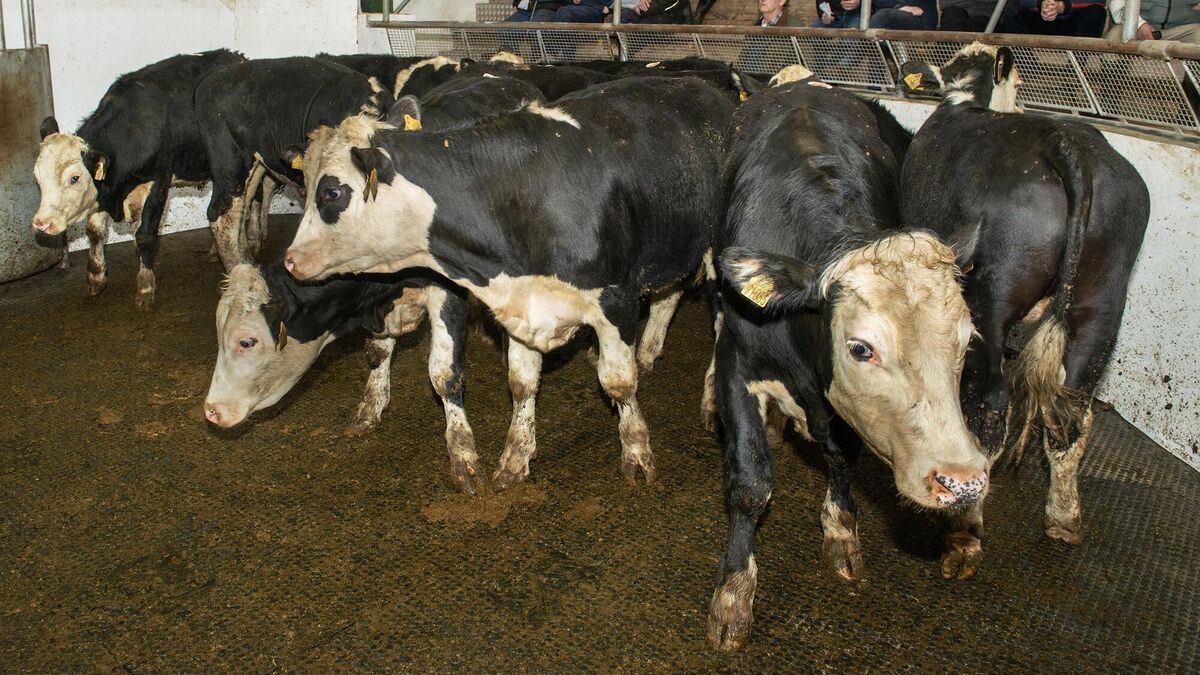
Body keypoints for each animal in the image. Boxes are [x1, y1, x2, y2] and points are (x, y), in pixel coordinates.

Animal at [31, 49, 246, 308]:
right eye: (37, 177)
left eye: (74, 178)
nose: (42, 224)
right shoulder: (106, 188)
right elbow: (95, 232)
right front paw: (96, 277)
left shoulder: (159, 182)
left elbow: (145, 235)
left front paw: (145, 286)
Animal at [193, 57, 391, 276]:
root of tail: (212, 79)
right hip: (229, 164)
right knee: (222, 213)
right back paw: (239, 272)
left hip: (253, 165)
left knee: (243, 204)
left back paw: (249, 262)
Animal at [280, 77, 734, 486]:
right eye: (303, 187)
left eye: (332, 193)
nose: (290, 261)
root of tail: (704, 87)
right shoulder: (517, 300)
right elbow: (521, 383)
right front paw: (515, 457)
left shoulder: (615, 300)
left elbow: (618, 383)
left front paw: (637, 453)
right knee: (669, 295)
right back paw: (651, 350)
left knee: (721, 326)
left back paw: (711, 401)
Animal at [705, 65, 987, 652]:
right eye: (861, 348)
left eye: (967, 340)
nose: (962, 480)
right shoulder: (739, 367)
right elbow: (750, 485)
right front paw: (733, 595)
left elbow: (840, 455)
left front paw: (840, 530)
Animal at [898, 44, 1150, 553]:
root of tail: (1062, 142)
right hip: (1104, 303)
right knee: (1073, 414)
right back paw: (1063, 518)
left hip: (994, 296)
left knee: (993, 405)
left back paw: (965, 524)